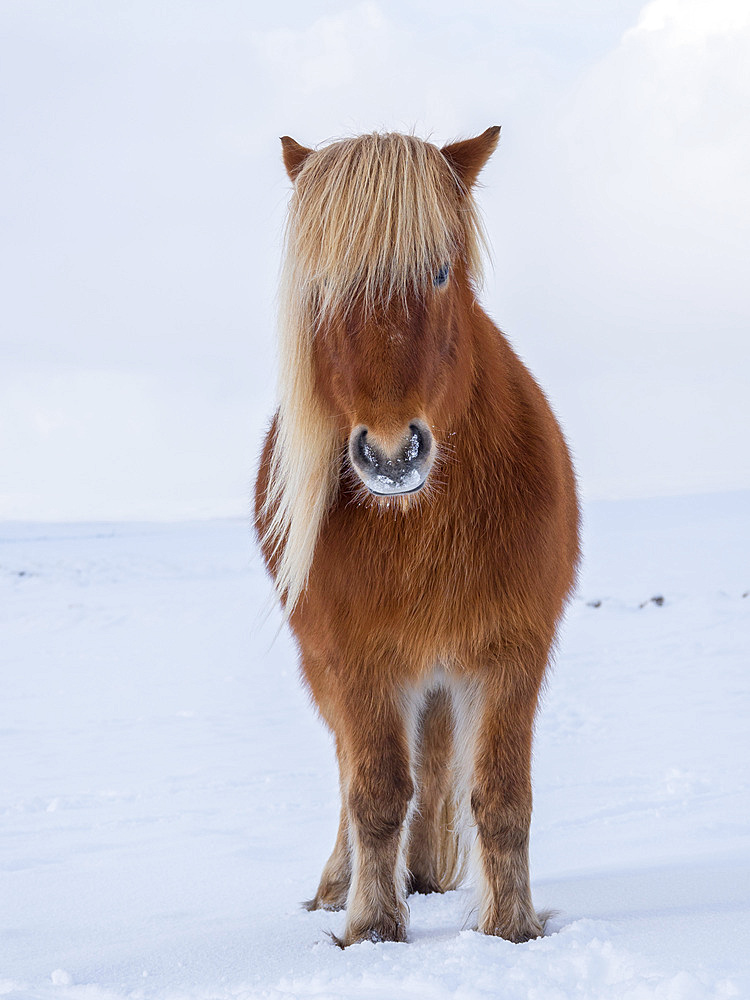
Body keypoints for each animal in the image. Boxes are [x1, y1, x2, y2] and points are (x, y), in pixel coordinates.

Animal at [254, 129, 580, 948]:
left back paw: (428, 873)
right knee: (358, 773)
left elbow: (501, 796)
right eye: (323, 288)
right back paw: (340, 888)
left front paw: (511, 931)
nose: (392, 453)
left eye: (438, 272)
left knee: (433, 772)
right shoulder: (357, 661)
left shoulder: (511, 651)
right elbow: (373, 793)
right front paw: (371, 928)